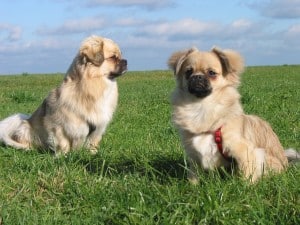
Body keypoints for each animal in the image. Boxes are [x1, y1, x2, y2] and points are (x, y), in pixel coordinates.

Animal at [168, 47, 298, 183]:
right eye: (188, 72)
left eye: (211, 73)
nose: (197, 77)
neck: (201, 106)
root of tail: (285, 162)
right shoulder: (193, 155)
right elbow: (193, 174)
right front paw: (193, 186)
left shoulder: (244, 150)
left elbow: (247, 174)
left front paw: (245, 186)